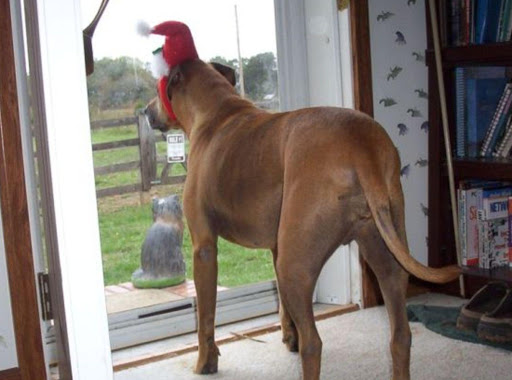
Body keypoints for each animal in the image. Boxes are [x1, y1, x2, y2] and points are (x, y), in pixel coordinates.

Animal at [145, 60, 460, 380]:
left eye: (158, 89)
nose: (145, 111)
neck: (218, 112)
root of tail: (361, 144)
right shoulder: (276, 246)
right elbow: (282, 305)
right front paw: (288, 335)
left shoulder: (204, 247)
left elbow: (206, 317)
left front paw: (205, 362)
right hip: (386, 256)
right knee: (400, 336)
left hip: (294, 266)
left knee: (314, 344)